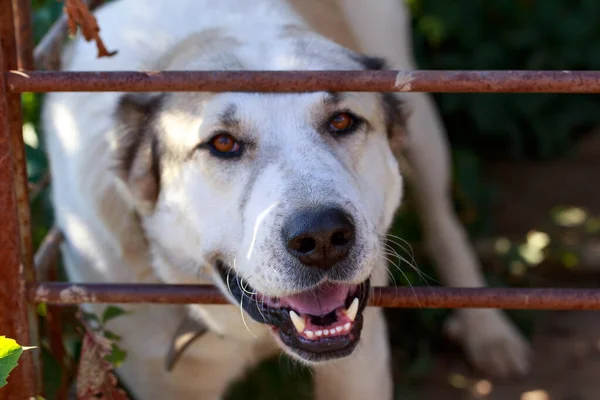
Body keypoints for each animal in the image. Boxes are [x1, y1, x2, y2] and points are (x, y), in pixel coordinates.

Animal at [41, 0, 528, 396]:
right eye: (222, 144)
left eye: (342, 121)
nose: (323, 237)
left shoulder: (361, 363)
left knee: (443, 219)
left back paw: (490, 333)